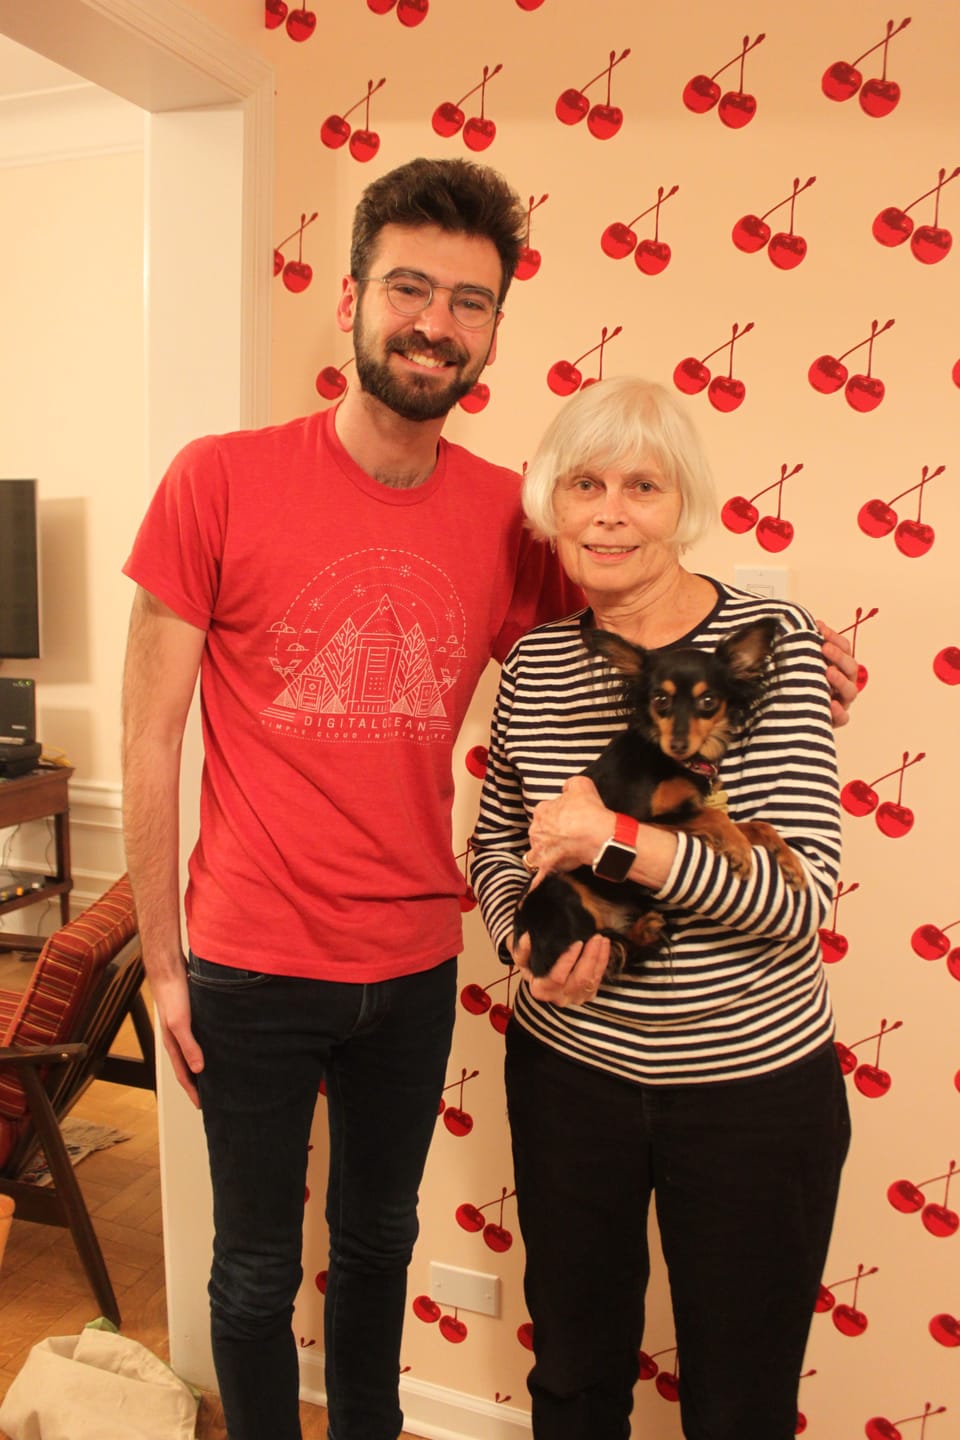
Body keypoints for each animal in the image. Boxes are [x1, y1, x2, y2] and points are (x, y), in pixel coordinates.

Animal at [515, 619, 805, 979]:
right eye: (660, 699)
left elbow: (759, 825)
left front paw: (789, 861)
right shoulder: (644, 819)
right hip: (561, 887)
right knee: (599, 942)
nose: (678, 744)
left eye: (708, 700)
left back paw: (646, 928)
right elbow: (714, 817)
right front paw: (739, 850)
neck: (672, 761)